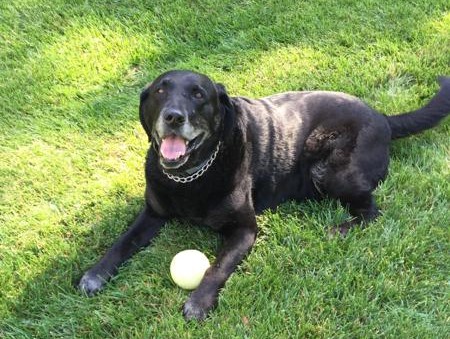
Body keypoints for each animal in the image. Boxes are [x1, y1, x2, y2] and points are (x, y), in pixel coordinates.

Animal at [78, 69, 450, 322]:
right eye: (159, 91)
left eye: (198, 95)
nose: (173, 116)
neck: (190, 177)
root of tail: (382, 117)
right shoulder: (152, 213)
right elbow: (121, 242)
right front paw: (95, 274)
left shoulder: (244, 230)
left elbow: (217, 267)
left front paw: (199, 301)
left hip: (329, 165)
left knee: (371, 210)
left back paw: (340, 228)